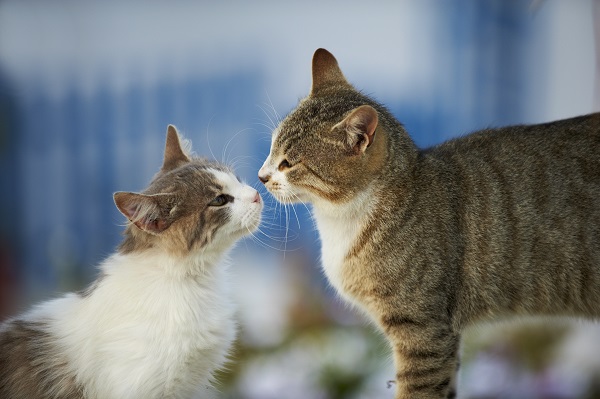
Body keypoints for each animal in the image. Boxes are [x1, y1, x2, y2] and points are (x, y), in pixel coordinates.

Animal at [258, 49, 600, 399]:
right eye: (271, 148)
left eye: (289, 163)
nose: (261, 176)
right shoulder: (445, 337)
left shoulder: (423, 330)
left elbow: (418, 389)